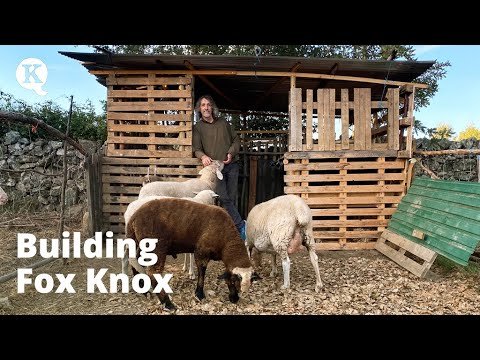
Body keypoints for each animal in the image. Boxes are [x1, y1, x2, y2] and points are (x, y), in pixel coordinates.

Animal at [127, 197, 255, 312]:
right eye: (234, 281)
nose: (235, 299)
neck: (226, 241)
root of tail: (134, 217)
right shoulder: (201, 251)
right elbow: (202, 271)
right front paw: (199, 294)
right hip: (157, 246)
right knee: (153, 272)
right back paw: (167, 303)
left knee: (135, 263)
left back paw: (143, 290)